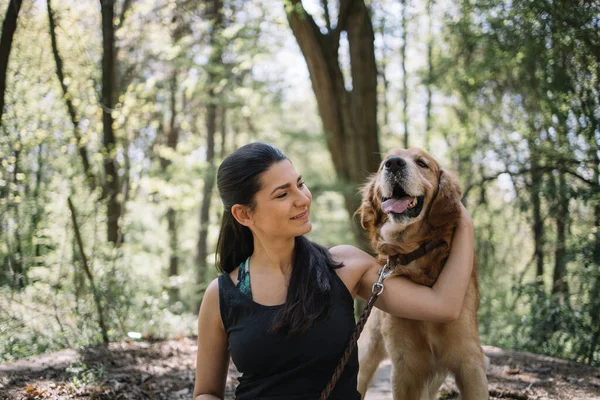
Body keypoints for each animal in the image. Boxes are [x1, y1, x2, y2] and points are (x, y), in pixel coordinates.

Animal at [356, 148, 488, 400]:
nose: (393, 164)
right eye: (383, 164)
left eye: (422, 163)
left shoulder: (470, 361)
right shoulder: (406, 366)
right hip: (365, 357)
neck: (413, 254)